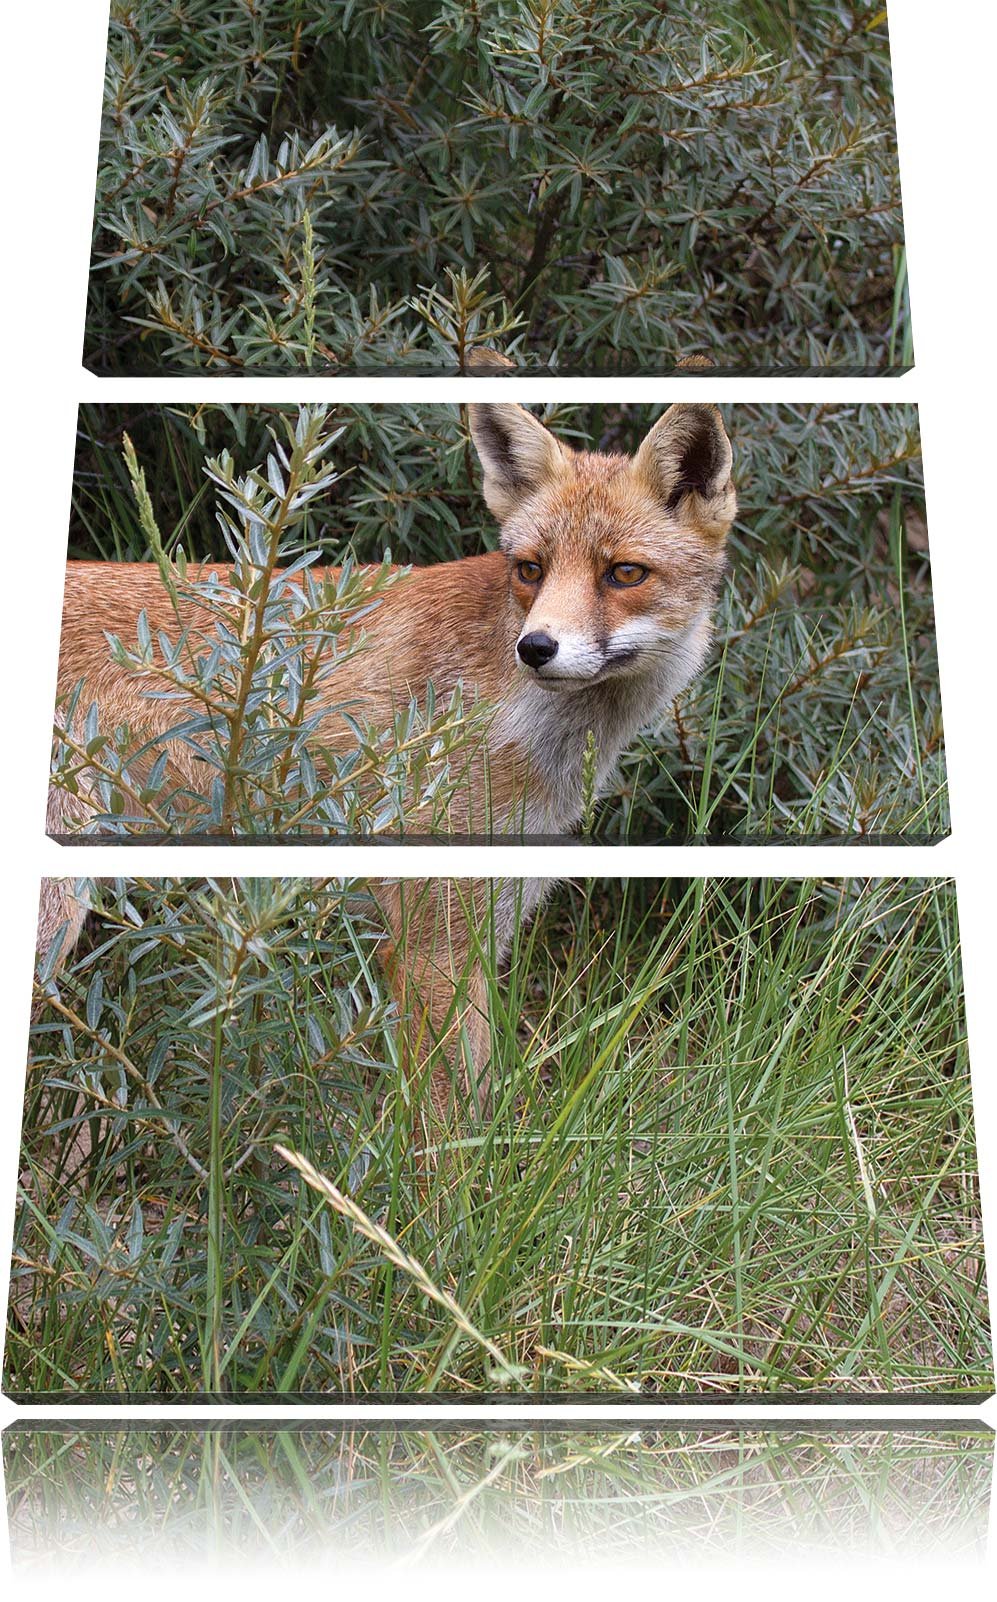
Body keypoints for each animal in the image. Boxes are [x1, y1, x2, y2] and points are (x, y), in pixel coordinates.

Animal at [42, 403, 736, 1123]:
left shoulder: (483, 931)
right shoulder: (433, 945)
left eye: (624, 574)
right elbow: (442, 1132)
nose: (535, 648)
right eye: (530, 570)